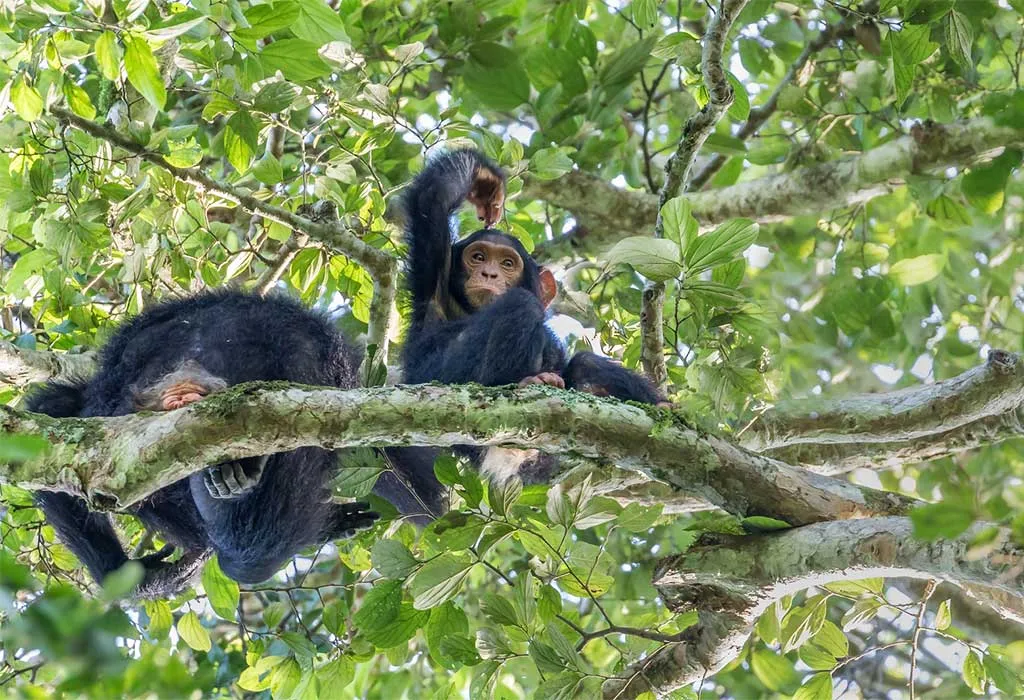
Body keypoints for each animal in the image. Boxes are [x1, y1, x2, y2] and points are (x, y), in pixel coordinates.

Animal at [395, 147, 667, 487]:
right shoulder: (435, 274)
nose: (490, 273)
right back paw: (524, 380)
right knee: (520, 304)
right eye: (478, 257)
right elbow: (432, 201)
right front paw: (485, 182)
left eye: (507, 263)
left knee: (583, 365)